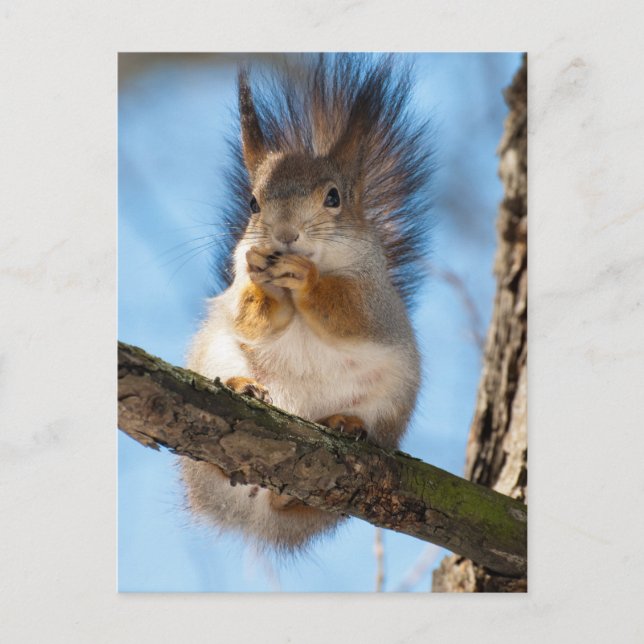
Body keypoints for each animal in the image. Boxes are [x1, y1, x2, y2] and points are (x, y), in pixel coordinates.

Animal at [180, 54, 433, 552]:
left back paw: (343, 426)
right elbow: (250, 316)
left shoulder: (375, 295)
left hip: (390, 401)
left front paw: (306, 280)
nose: (284, 235)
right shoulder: (237, 283)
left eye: (333, 197)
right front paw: (267, 283)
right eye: (252, 203)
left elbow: (351, 315)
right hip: (215, 353)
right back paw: (241, 388)